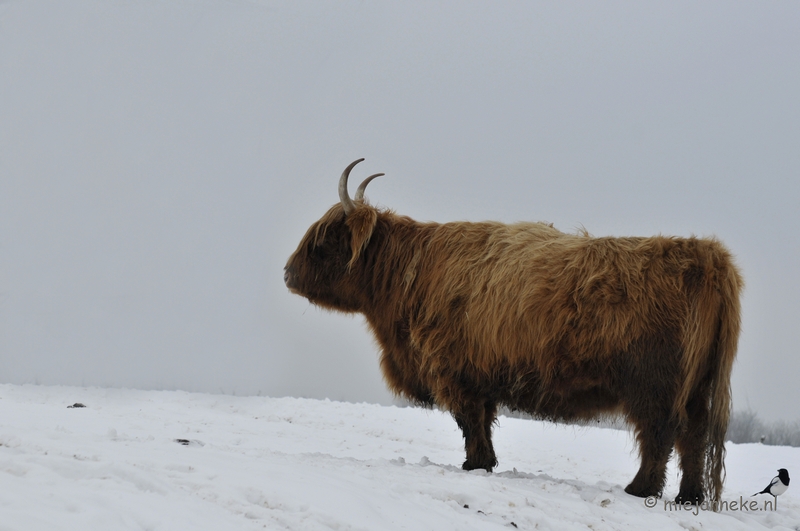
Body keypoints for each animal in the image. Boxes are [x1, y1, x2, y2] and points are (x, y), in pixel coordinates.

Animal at [284, 159, 740, 508]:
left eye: (326, 239)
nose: (287, 273)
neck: (410, 275)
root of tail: (707, 255)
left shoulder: (453, 371)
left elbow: (469, 422)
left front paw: (474, 464)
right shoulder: (478, 373)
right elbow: (482, 421)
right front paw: (484, 463)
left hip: (654, 385)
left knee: (661, 435)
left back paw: (640, 489)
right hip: (698, 387)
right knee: (694, 437)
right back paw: (690, 496)